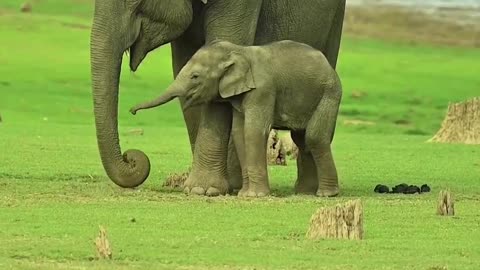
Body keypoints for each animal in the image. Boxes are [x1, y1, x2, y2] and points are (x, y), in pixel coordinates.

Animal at [131, 39, 342, 196]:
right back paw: (308, 193)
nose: (132, 111)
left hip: (330, 93)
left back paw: (326, 194)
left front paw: (255, 196)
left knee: (314, 137)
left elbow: (254, 131)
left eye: (195, 76)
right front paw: (244, 195)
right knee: (302, 139)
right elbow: (240, 133)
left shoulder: (263, 90)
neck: (239, 50)